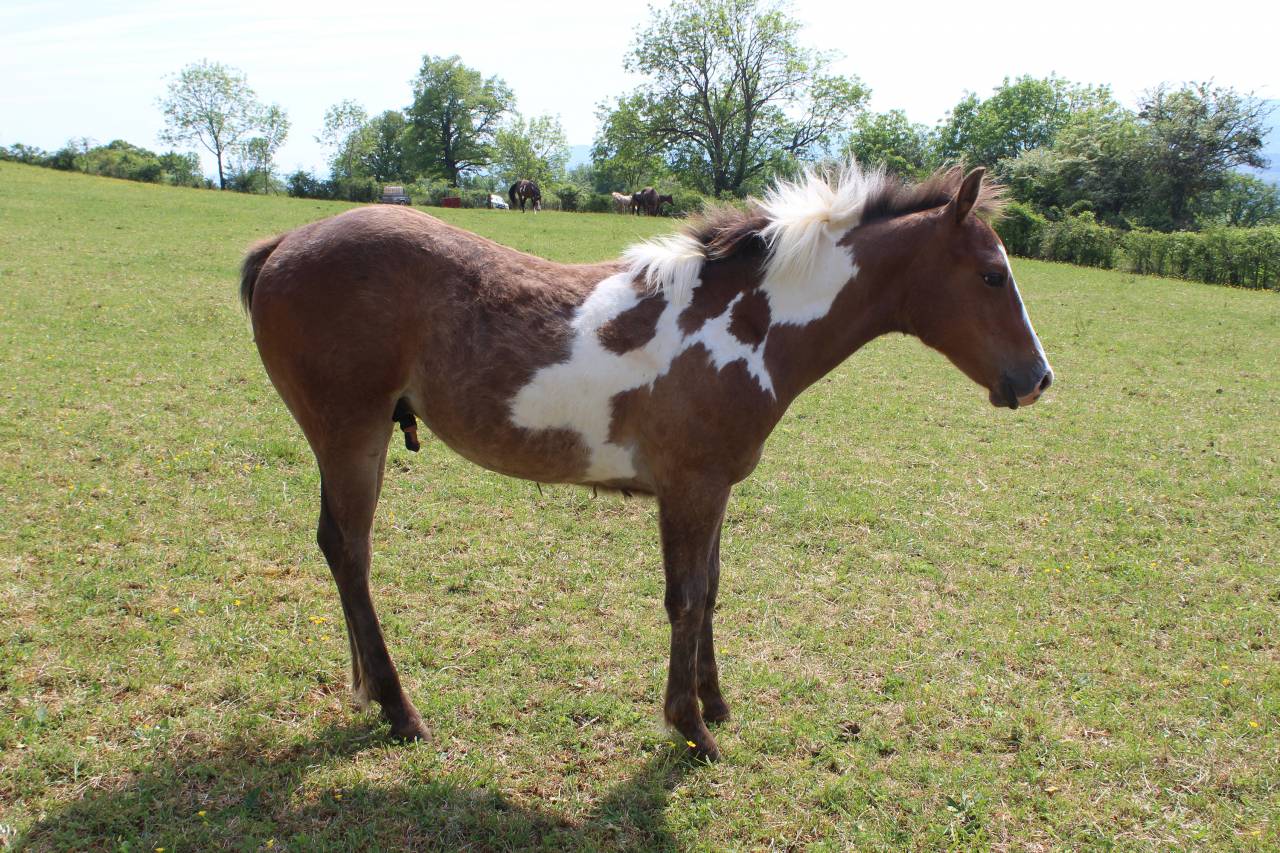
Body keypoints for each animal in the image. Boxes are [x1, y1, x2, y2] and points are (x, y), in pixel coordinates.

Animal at [240, 164, 1052, 761]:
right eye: (991, 274)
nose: (1038, 378)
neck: (745, 324)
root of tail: (281, 243)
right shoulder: (689, 489)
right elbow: (685, 598)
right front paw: (689, 729)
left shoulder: (715, 488)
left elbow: (713, 591)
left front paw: (716, 704)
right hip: (351, 434)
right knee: (349, 550)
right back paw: (399, 707)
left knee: (344, 550)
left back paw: (371, 694)